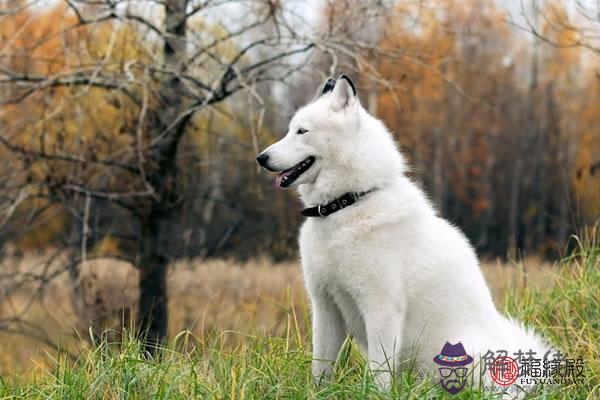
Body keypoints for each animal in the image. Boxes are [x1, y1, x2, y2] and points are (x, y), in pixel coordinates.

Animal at [255, 74, 548, 394]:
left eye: (302, 131)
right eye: (290, 130)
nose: (261, 158)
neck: (348, 204)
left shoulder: (381, 308)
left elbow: (379, 371)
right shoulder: (325, 308)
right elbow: (321, 368)